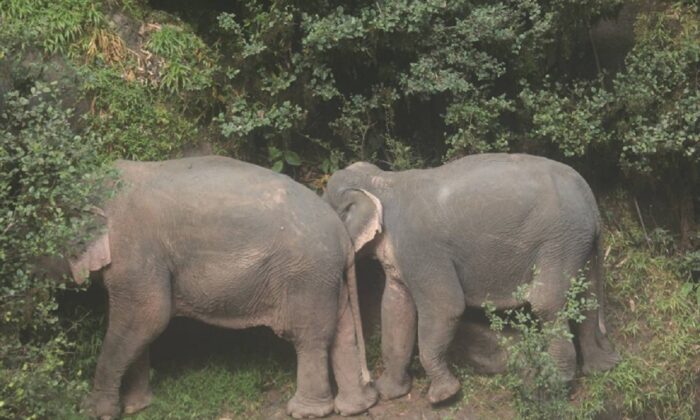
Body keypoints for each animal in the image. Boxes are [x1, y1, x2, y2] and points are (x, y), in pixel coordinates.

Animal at [67, 157, 378, 420]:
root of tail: (342, 235)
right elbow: (141, 326)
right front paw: (136, 407)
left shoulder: (134, 249)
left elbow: (147, 316)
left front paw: (94, 410)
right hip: (327, 277)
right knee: (342, 333)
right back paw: (355, 407)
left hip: (306, 275)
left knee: (309, 338)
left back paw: (306, 412)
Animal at [322, 153, 616, 404]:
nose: (368, 382)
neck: (382, 181)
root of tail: (591, 200)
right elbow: (396, 309)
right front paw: (389, 392)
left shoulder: (421, 248)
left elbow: (446, 307)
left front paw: (443, 396)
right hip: (578, 243)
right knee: (587, 298)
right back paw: (599, 367)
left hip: (559, 241)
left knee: (547, 303)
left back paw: (553, 385)